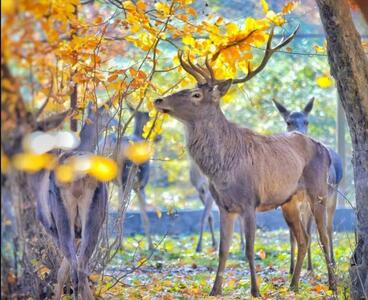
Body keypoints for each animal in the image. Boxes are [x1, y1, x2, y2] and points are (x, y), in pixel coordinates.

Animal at [35, 102, 115, 298]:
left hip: (60, 216)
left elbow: (62, 271)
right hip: (94, 218)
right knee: (81, 267)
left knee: (76, 269)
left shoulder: (50, 226)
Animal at [274, 97, 342, 274]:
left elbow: (311, 231)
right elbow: (292, 235)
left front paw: (310, 266)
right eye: (288, 122)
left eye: (307, 121)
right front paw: (291, 268)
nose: (299, 134)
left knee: (329, 227)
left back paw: (332, 261)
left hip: (332, 196)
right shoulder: (292, 202)